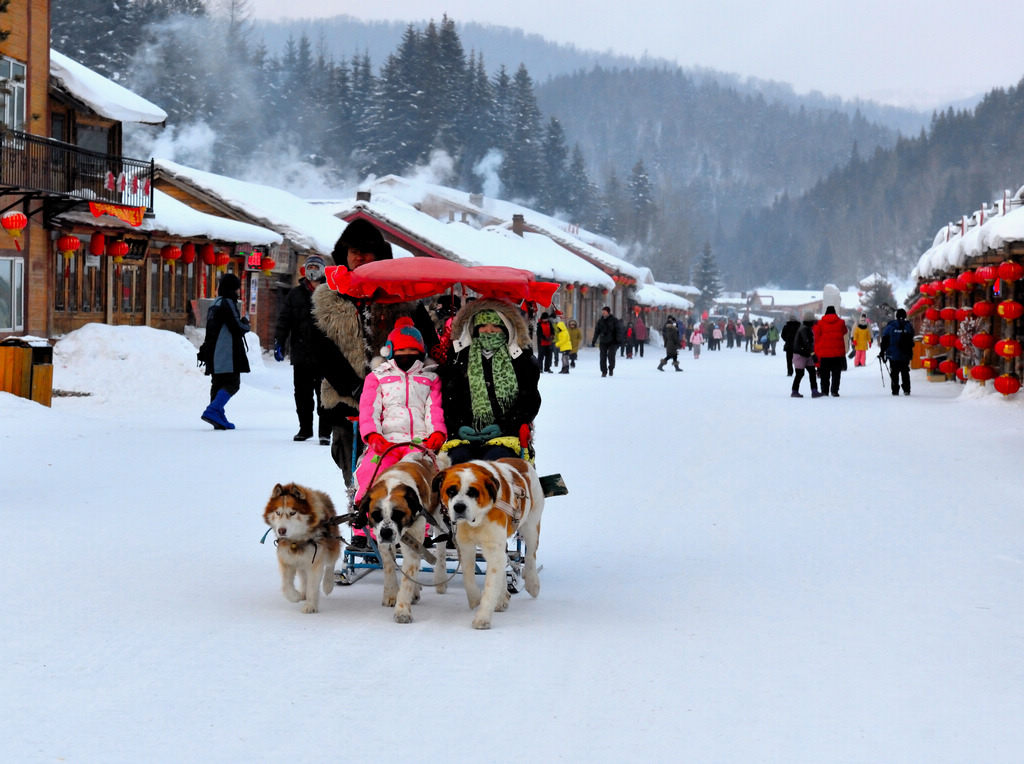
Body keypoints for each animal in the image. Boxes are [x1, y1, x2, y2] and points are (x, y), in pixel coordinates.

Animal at [264, 481, 344, 614]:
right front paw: (295, 596)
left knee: (330, 564)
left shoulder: (315, 561)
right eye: (278, 513)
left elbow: (312, 586)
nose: (281, 530)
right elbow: (286, 585)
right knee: (303, 575)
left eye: (292, 513)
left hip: (331, 546)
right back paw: (302, 592)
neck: (297, 541)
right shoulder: (286, 559)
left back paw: (328, 585)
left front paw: (310, 606)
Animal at [354, 448, 450, 622]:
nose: (386, 532)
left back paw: (440, 579)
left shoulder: (414, 537)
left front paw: (402, 610)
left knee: (441, 543)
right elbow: (389, 566)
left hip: (437, 514)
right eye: (376, 515)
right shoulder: (383, 542)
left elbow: (408, 576)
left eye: (398, 514)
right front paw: (391, 594)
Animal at [432, 454, 544, 626]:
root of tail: (521, 461)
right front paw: (475, 598)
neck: (478, 518)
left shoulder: (493, 547)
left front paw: (482, 617)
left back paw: (532, 583)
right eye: (451, 491)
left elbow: (491, 585)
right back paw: (503, 597)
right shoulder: (466, 546)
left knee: (530, 555)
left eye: (473, 492)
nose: (459, 507)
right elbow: (468, 576)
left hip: (531, 525)